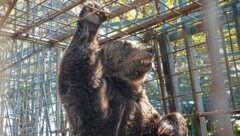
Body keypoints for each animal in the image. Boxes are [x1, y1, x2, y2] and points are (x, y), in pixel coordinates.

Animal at [57, 1, 188, 135]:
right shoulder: (99, 106)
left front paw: (169, 126)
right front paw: (93, 14)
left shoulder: (145, 109)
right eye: (126, 45)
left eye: (136, 43)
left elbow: (163, 119)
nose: (150, 48)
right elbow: (77, 78)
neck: (127, 86)